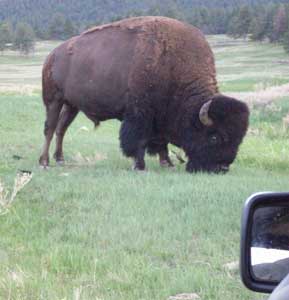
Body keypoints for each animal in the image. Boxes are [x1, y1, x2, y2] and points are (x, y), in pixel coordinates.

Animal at [39, 17, 249, 173]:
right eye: (214, 137)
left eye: (239, 139)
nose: (222, 167)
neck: (172, 65)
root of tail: (52, 55)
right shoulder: (139, 114)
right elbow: (138, 140)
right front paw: (139, 166)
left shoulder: (161, 115)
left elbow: (161, 141)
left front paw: (167, 163)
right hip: (53, 100)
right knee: (50, 128)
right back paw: (44, 162)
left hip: (71, 105)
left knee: (61, 129)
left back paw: (60, 159)